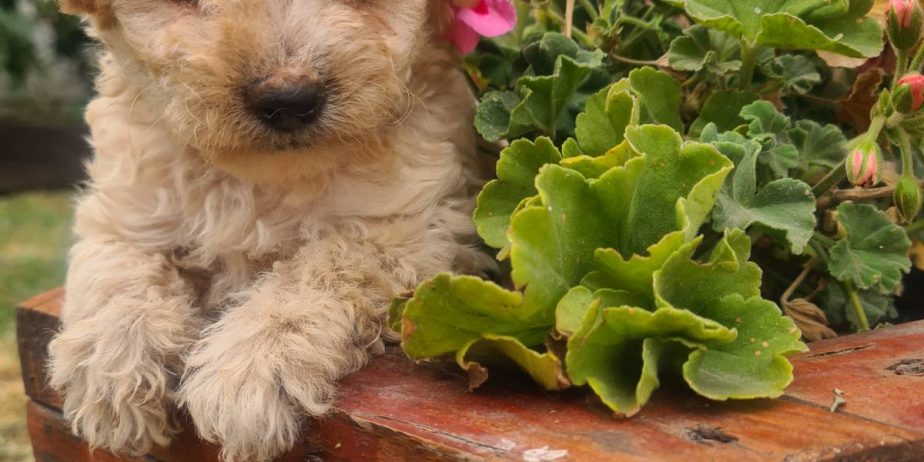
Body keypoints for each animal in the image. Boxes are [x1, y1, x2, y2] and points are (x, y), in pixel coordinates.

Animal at [47, 1, 490, 460]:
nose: (289, 100)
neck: (259, 178)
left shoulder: (413, 228)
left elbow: (320, 270)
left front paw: (249, 370)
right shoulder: (126, 207)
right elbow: (115, 273)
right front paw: (111, 366)